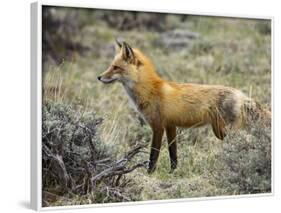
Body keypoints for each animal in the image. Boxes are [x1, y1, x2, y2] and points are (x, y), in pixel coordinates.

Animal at [97, 40, 270, 174]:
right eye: (110, 66)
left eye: (116, 67)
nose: (99, 77)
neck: (150, 90)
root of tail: (242, 95)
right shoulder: (170, 126)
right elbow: (173, 153)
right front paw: (173, 172)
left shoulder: (157, 126)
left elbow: (153, 155)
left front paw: (150, 174)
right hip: (220, 132)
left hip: (227, 132)